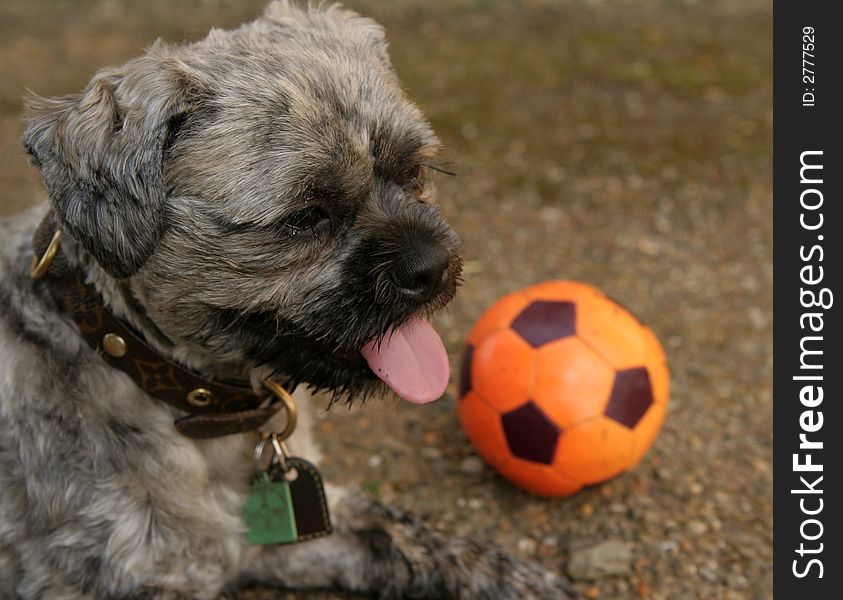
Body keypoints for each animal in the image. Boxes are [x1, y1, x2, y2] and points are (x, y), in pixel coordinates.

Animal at [0, 2, 580, 596]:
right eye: (305, 217)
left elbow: (401, 533)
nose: (432, 265)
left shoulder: (300, 535)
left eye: (413, 169)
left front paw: (515, 577)